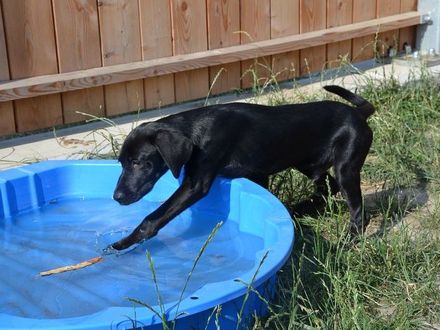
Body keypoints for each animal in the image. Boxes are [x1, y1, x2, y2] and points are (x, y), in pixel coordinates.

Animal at [111, 85, 374, 250]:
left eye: (137, 162)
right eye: (122, 163)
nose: (117, 197)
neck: (194, 131)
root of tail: (359, 113)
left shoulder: (195, 184)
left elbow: (154, 217)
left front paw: (123, 243)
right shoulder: (257, 175)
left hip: (346, 167)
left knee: (357, 209)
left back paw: (348, 239)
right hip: (309, 165)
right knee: (328, 188)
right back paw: (296, 211)